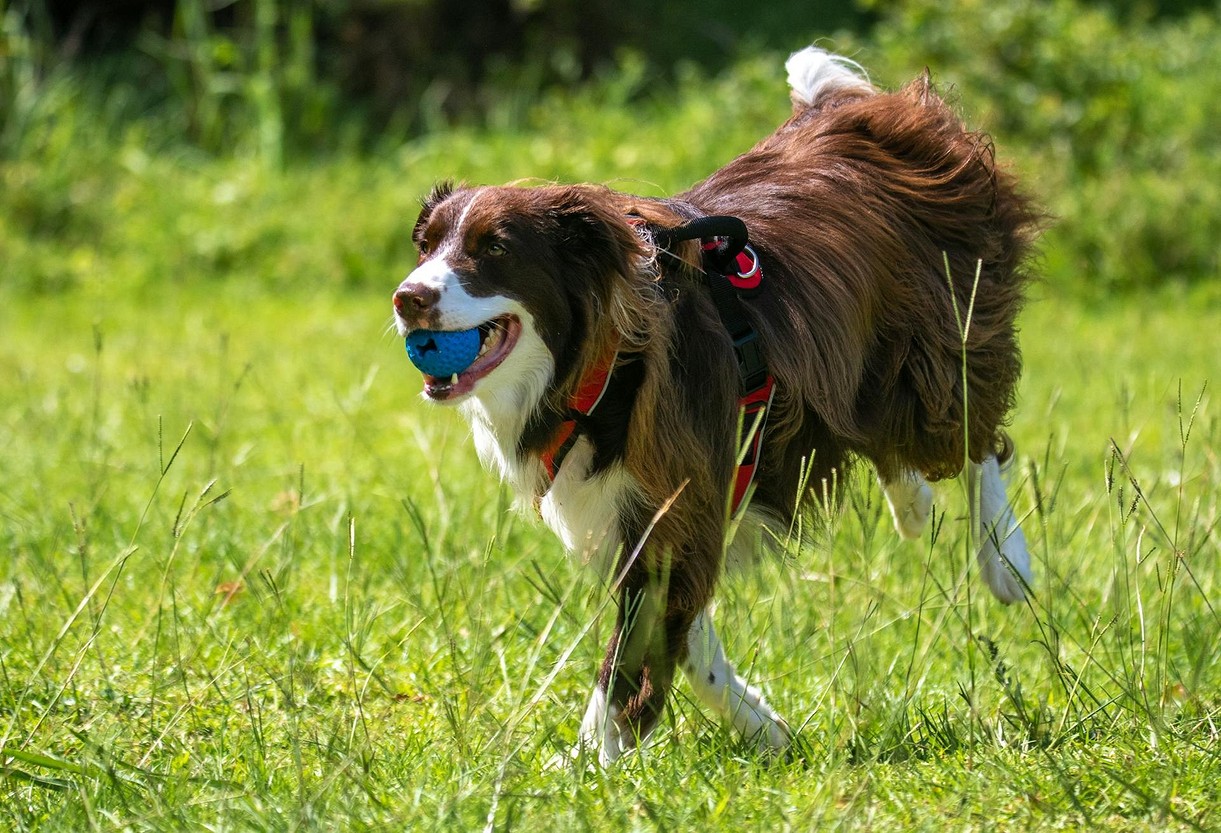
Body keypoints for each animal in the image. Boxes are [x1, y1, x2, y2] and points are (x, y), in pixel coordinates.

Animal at [393, 43, 1040, 757]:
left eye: (495, 249)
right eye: (427, 246)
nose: (407, 297)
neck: (602, 369)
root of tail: (852, 113)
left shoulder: (672, 496)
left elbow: (632, 654)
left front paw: (593, 760)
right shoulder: (670, 504)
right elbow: (688, 642)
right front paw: (764, 728)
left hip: (932, 346)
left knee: (976, 439)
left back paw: (1005, 558)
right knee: (899, 443)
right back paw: (914, 506)